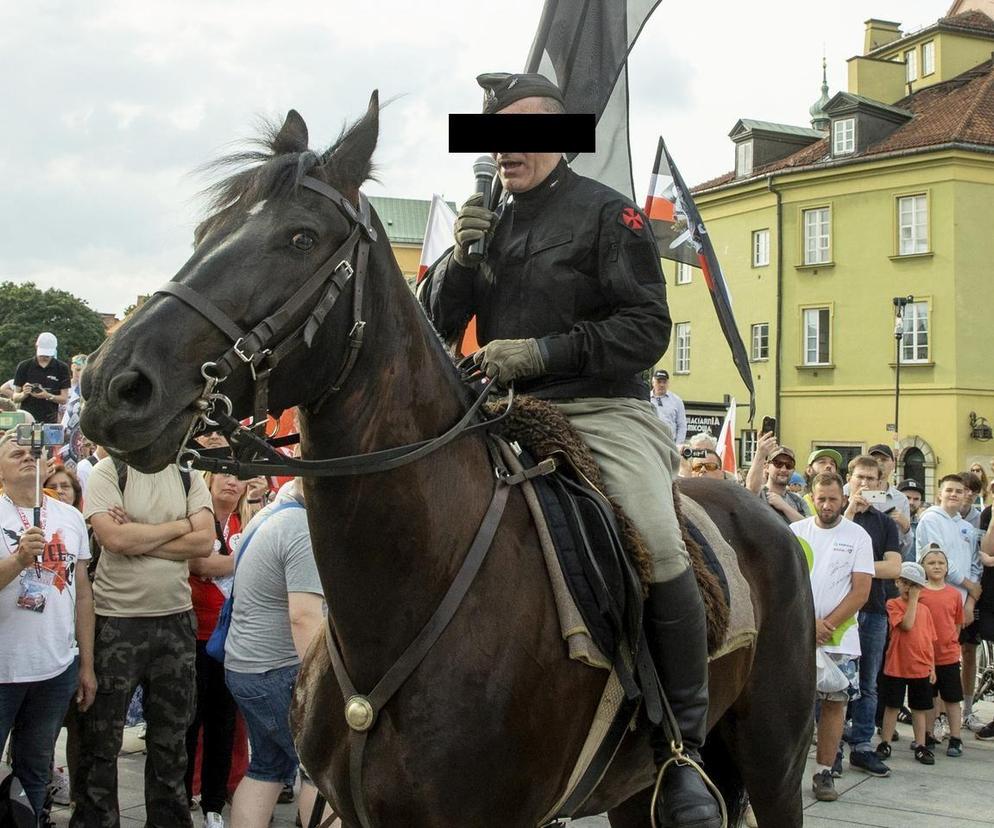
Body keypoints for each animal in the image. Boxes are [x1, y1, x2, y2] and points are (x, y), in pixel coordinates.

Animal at [81, 95, 812, 820]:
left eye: (301, 238)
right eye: (207, 230)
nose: (112, 384)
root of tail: (764, 513)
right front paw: (468, 239)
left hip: (774, 763)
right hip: (633, 790)